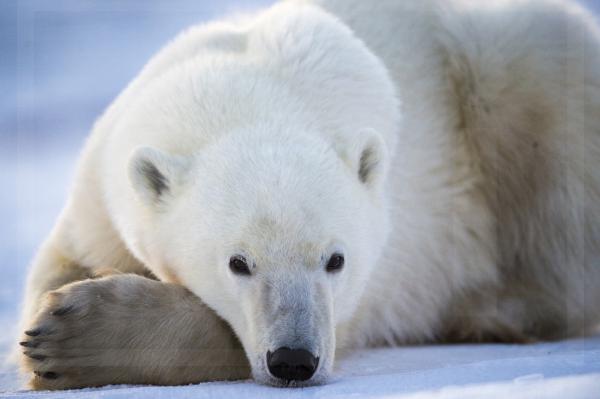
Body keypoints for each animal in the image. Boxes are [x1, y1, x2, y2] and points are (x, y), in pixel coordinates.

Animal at [16, 0, 600, 392]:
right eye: (238, 262)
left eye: (335, 259)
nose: (293, 360)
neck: (251, 90)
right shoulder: (103, 188)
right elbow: (64, 261)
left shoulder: (384, 262)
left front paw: (72, 338)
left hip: (515, 67)